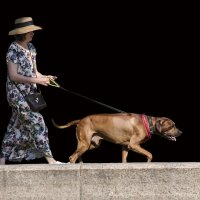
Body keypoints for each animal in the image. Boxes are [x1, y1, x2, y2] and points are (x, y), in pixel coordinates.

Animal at [52, 113, 183, 163]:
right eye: (172, 126)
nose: (181, 132)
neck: (148, 123)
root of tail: (80, 120)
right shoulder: (133, 145)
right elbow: (150, 154)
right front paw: (148, 161)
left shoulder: (125, 146)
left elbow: (124, 159)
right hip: (85, 144)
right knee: (72, 157)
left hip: (90, 144)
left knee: (77, 154)